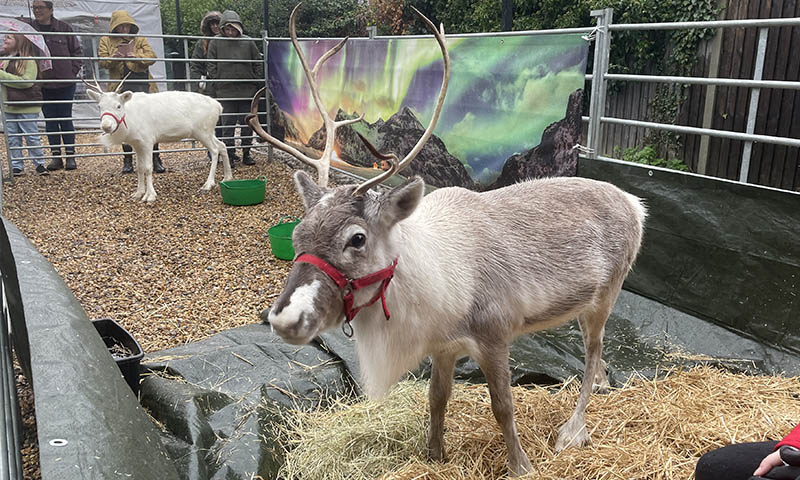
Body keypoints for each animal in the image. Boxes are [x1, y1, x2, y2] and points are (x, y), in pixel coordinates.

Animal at [84, 75, 233, 203]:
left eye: (118, 106)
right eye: (99, 106)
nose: (106, 126)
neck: (131, 120)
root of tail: (218, 106)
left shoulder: (148, 142)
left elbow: (148, 168)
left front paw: (150, 196)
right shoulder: (136, 144)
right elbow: (139, 168)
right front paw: (138, 193)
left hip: (203, 131)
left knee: (214, 150)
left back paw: (208, 184)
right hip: (208, 132)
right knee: (222, 145)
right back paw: (227, 177)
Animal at [248, 4, 646, 476]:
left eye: (357, 239)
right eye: (297, 233)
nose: (284, 319)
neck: (436, 286)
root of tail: (635, 203)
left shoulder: (495, 335)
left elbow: (503, 407)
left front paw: (521, 465)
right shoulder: (443, 347)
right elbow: (436, 399)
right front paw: (434, 453)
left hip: (607, 294)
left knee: (591, 354)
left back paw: (573, 430)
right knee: (597, 358)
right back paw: (601, 390)